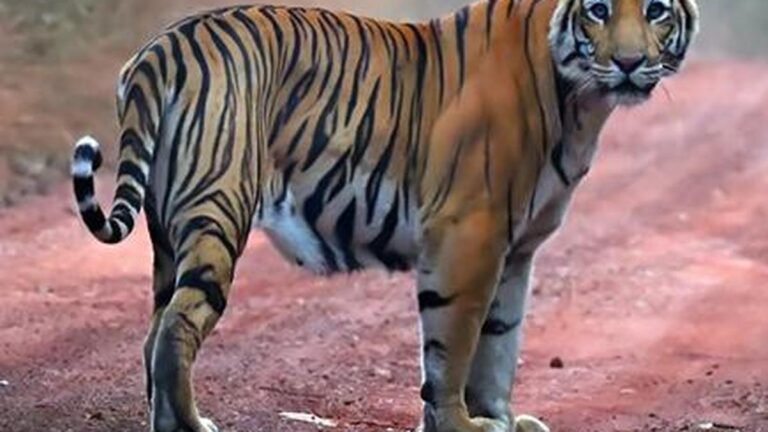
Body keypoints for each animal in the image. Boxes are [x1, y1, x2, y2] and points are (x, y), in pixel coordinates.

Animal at [70, 0, 698, 431]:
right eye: (597, 8)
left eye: (655, 8)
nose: (630, 64)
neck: (580, 102)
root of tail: (159, 49)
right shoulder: (469, 234)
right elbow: (454, 344)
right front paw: (460, 425)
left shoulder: (518, 250)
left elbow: (501, 341)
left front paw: (500, 418)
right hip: (217, 209)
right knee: (176, 327)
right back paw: (193, 425)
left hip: (167, 235)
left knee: (153, 332)